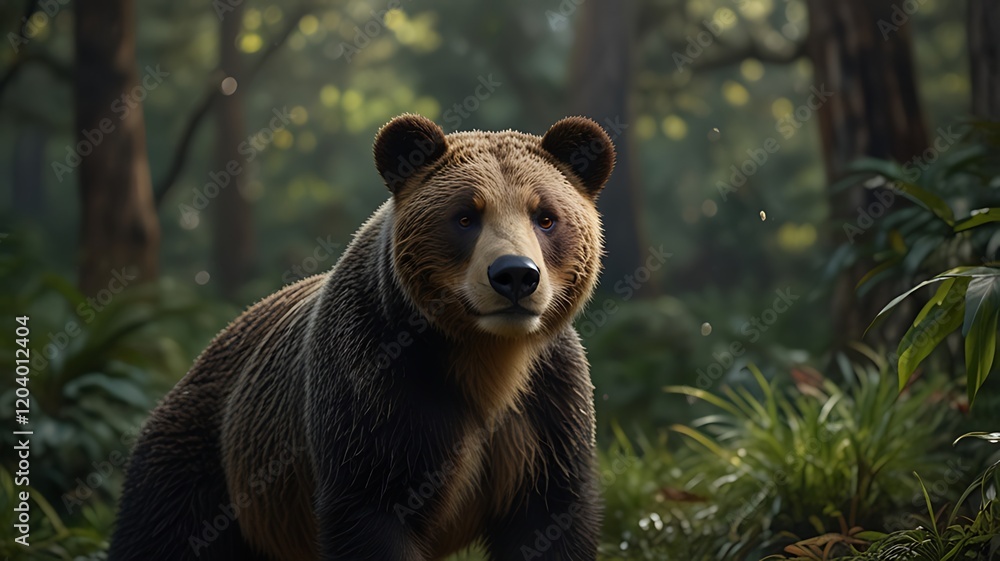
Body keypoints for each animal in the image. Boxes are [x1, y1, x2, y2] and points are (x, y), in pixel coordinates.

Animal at [108, 113, 615, 561]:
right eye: (465, 217)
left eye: (545, 217)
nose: (514, 276)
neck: (485, 356)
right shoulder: (376, 392)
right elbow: (370, 512)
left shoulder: (544, 413)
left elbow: (552, 521)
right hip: (209, 464)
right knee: (162, 533)